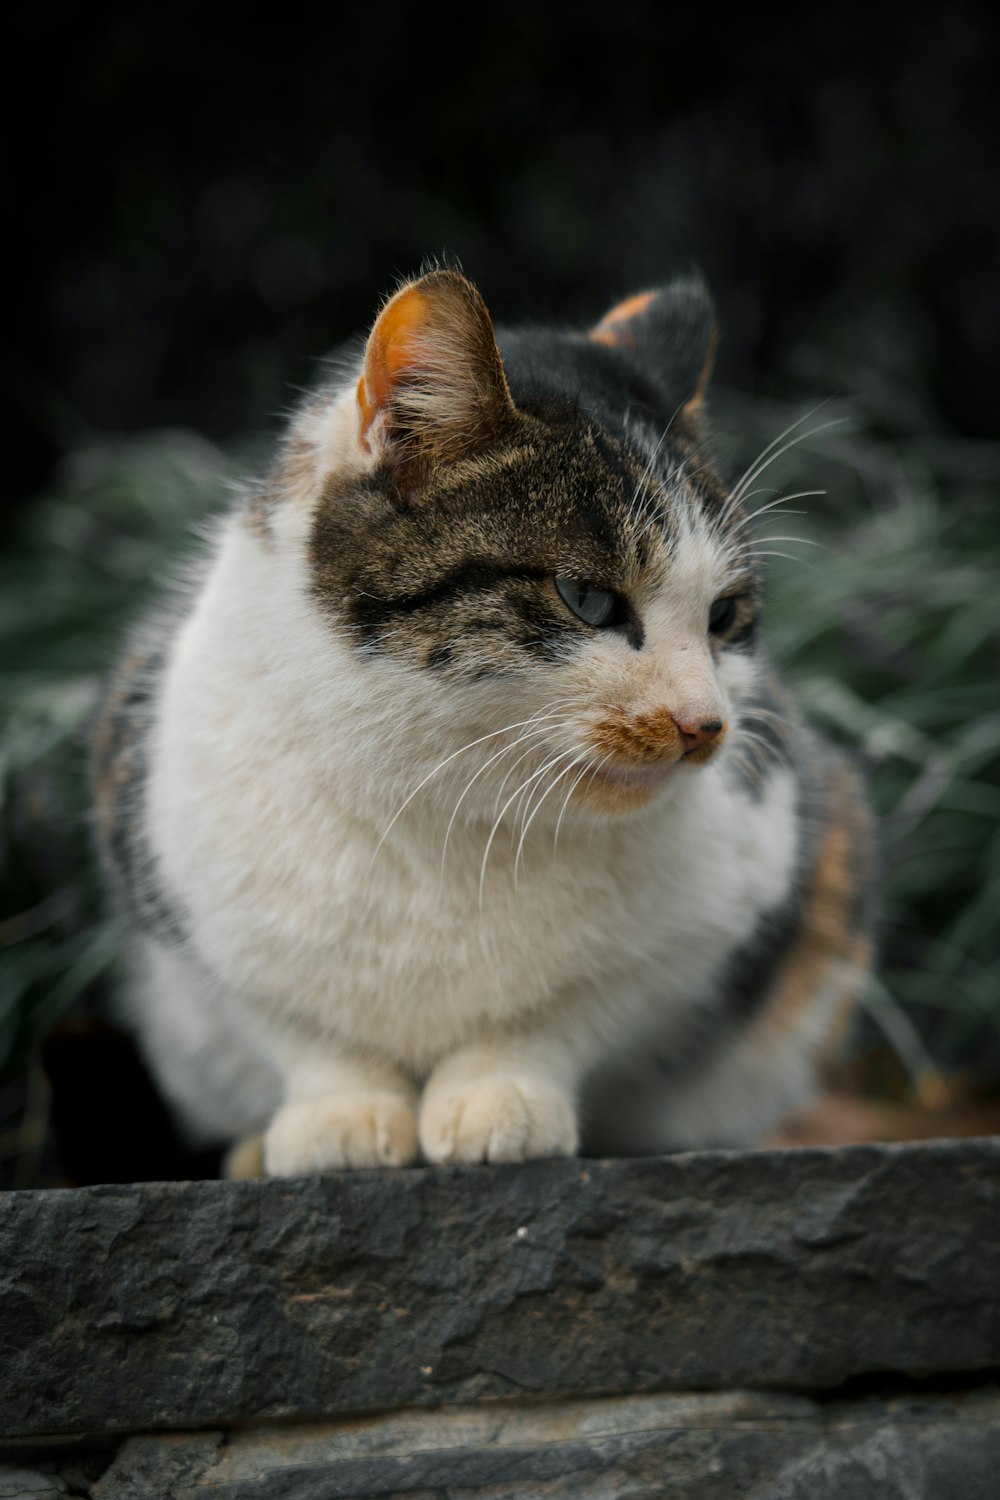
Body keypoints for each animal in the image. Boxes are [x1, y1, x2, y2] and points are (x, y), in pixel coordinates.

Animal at [93, 270, 875, 1176]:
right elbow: (299, 1026)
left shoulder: (723, 905)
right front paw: (339, 1118)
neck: (444, 802)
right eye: (587, 598)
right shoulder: (183, 899)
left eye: (724, 617)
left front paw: (499, 1098)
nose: (705, 724)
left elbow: (567, 1010)